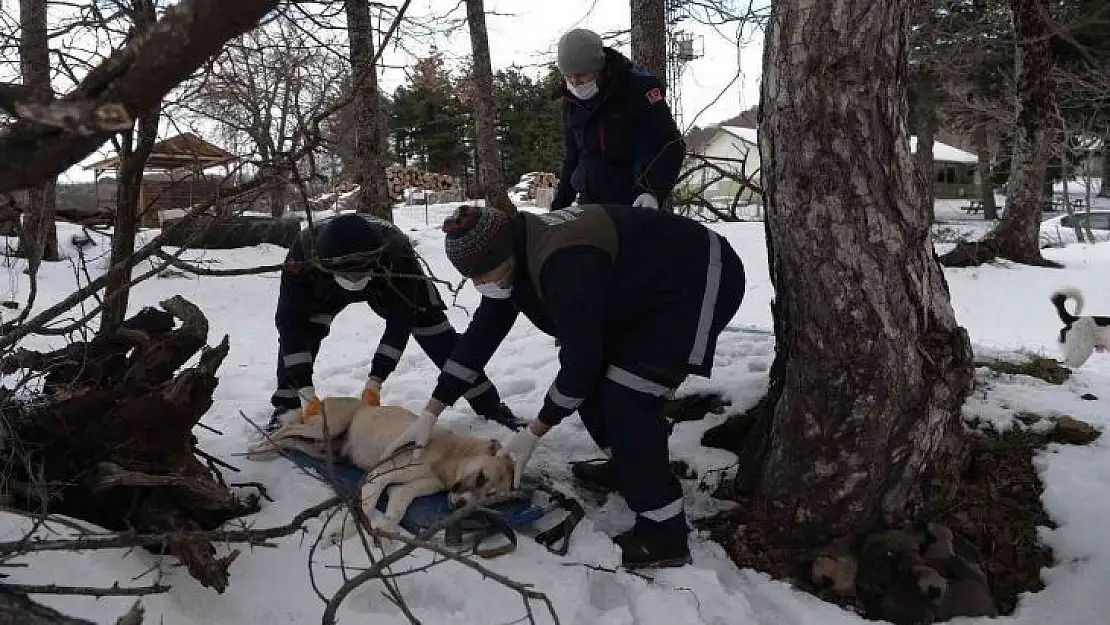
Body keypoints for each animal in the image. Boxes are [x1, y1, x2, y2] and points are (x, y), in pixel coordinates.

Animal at [247, 399, 515, 546]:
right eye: (481, 477)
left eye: (490, 497)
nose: (460, 505)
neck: (450, 457)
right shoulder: (381, 474)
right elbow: (366, 508)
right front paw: (341, 533)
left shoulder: (404, 490)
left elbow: (396, 511)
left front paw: (385, 531)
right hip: (327, 427)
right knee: (288, 428)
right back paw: (256, 448)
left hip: (322, 449)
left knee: (291, 441)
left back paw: (266, 452)